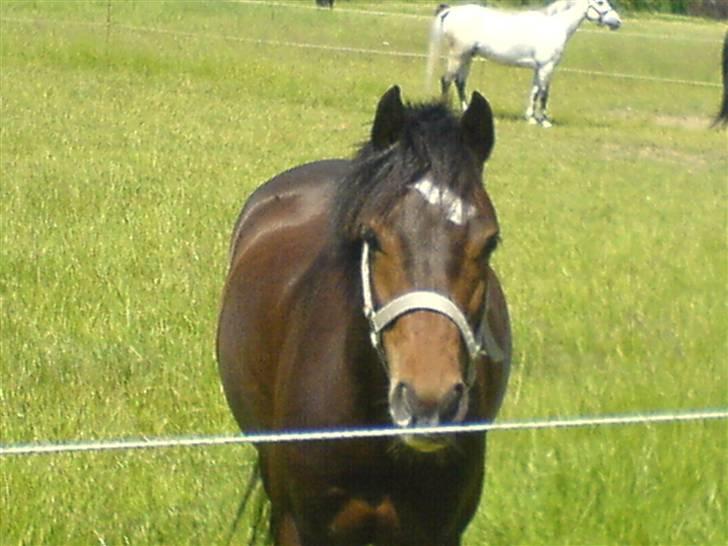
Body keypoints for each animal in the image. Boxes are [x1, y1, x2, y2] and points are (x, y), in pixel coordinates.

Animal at [427, 0, 622, 127]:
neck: (555, 27)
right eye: (600, 2)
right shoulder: (546, 67)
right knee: (446, 80)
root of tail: (451, 11)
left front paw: (531, 118)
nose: (618, 22)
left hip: (468, 56)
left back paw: (466, 110)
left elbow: (534, 92)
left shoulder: (538, 68)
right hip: (458, 55)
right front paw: (544, 121)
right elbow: (543, 94)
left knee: (460, 82)